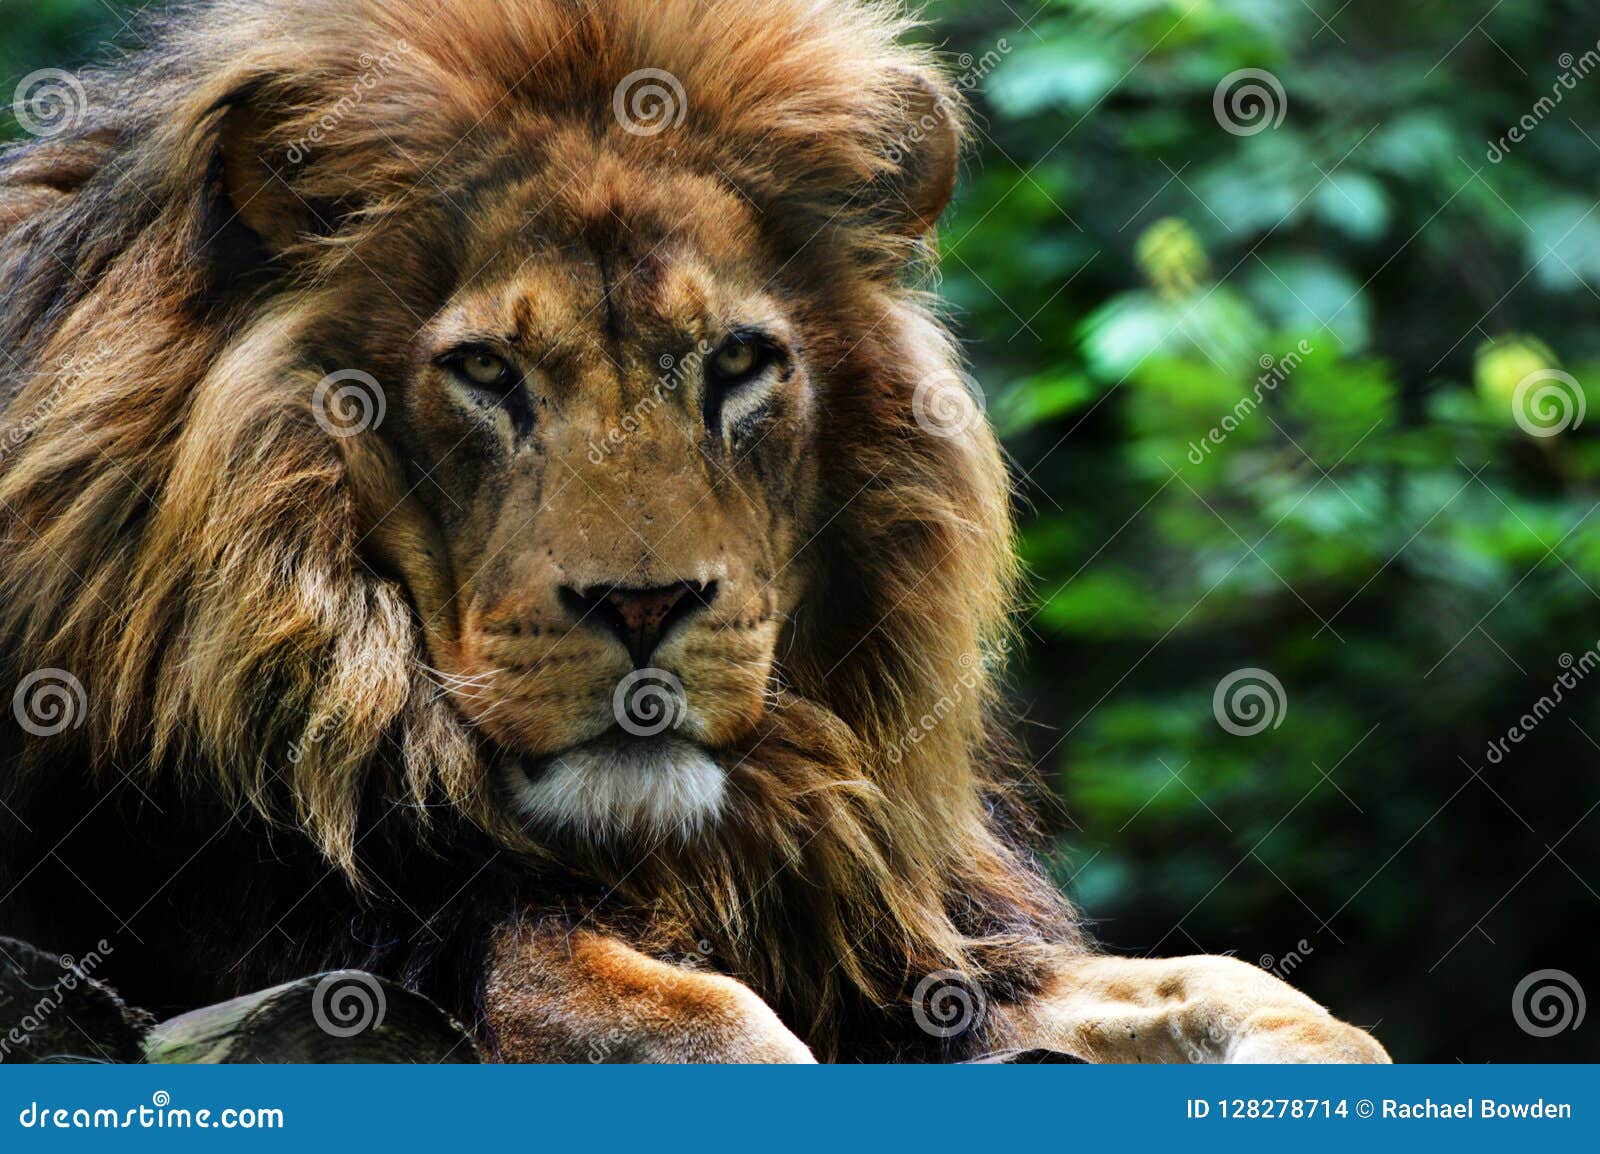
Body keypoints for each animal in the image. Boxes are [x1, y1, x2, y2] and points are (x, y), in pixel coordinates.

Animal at [0, 0, 1387, 1063]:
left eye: (736, 363)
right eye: (488, 371)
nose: (643, 606)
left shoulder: (899, 931)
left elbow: (1254, 989)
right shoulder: (335, 936)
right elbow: (709, 1021)